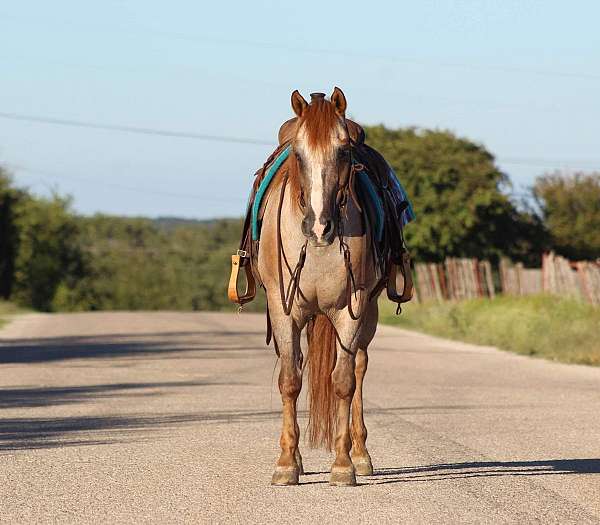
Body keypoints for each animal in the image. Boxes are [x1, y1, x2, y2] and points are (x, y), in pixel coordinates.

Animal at [256, 88, 382, 486]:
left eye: (342, 152)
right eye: (298, 154)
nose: (320, 226)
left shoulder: (351, 308)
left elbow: (342, 381)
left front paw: (342, 465)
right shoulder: (284, 309)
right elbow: (290, 381)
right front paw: (286, 463)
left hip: (368, 313)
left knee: (359, 367)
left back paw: (360, 455)